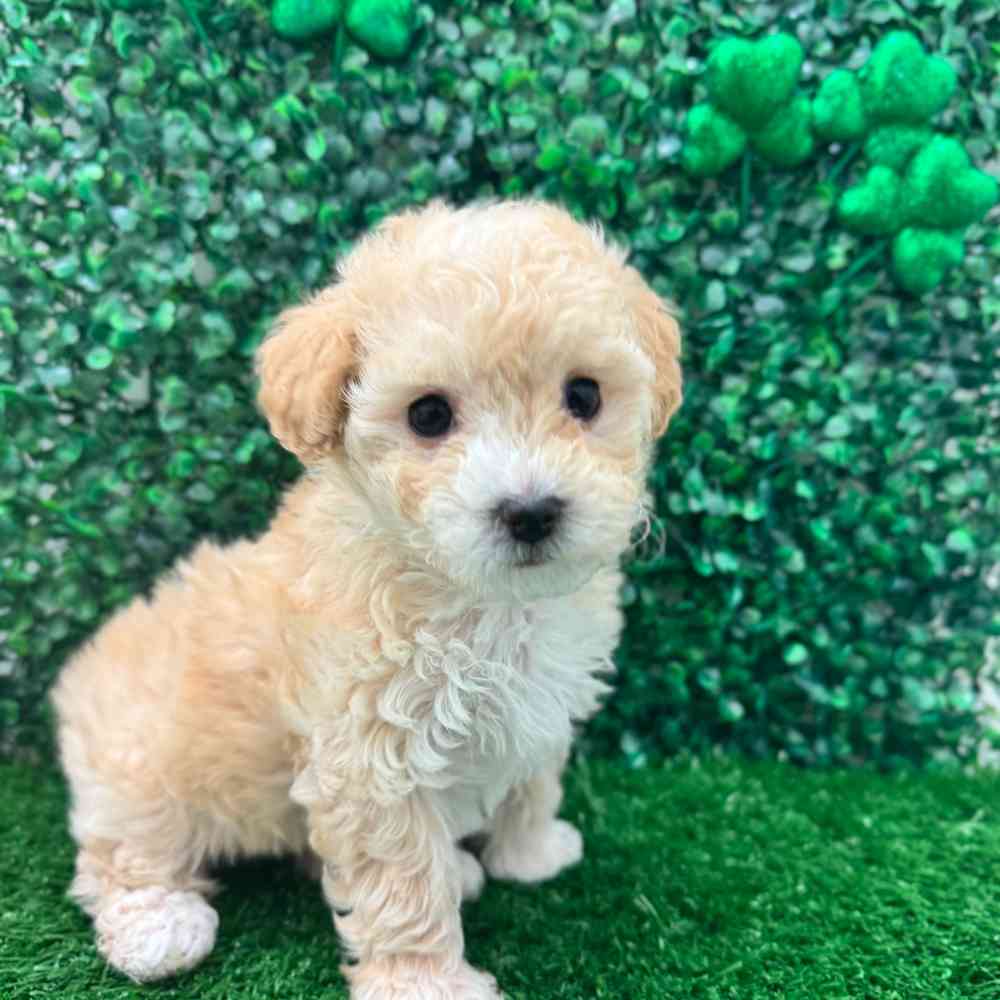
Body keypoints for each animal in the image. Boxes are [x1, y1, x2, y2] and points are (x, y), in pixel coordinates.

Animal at [52, 199, 682, 999]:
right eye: (428, 415)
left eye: (585, 396)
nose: (532, 511)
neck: (483, 600)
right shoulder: (370, 756)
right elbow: (402, 881)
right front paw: (426, 982)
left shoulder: (538, 704)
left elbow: (532, 778)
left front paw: (534, 852)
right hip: (141, 764)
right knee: (122, 851)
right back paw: (158, 927)